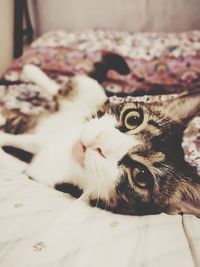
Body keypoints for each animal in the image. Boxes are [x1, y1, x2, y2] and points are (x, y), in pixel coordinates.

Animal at [0, 63, 199, 217]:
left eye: (141, 176)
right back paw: (30, 70)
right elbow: (22, 140)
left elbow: (17, 163)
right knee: (67, 90)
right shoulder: (53, 138)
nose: (99, 141)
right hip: (91, 93)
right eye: (133, 119)